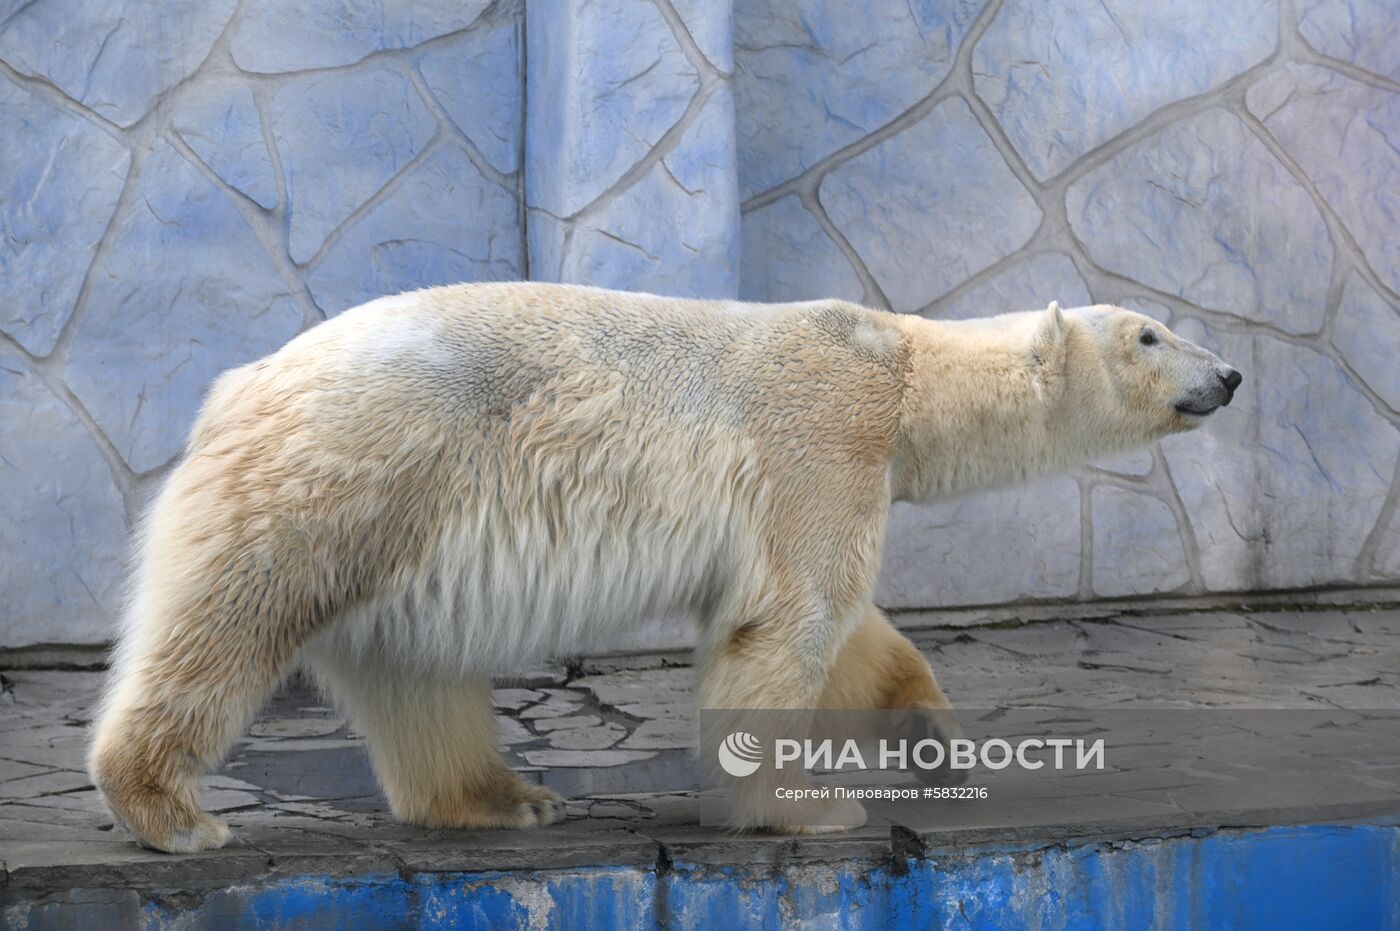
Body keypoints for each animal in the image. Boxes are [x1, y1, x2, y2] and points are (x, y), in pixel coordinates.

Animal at [93, 282, 1243, 851]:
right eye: (1150, 333)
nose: (1230, 374)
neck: (897, 368)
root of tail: (238, 385)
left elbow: (845, 626)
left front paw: (933, 739)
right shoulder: (818, 441)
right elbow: (790, 620)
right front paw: (806, 809)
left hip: (399, 527)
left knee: (413, 674)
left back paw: (503, 798)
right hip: (343, 473)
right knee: (229, 617)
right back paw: (170, 811)